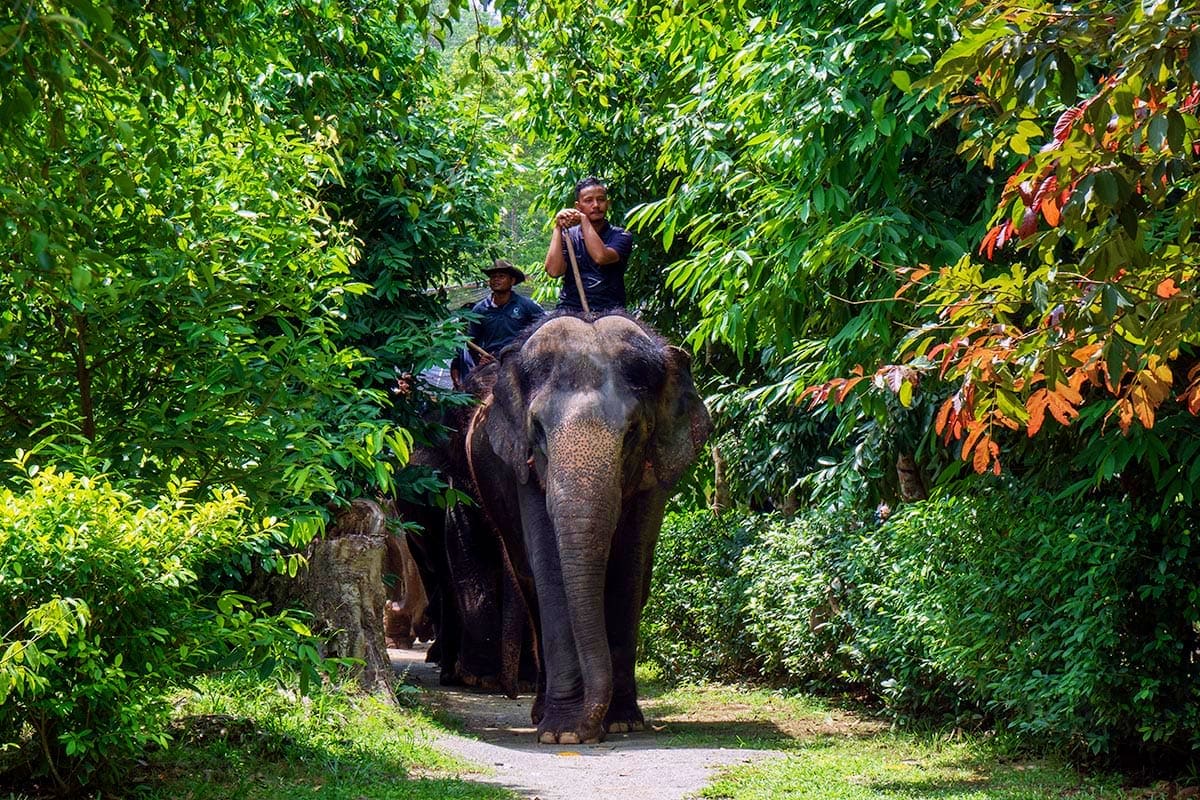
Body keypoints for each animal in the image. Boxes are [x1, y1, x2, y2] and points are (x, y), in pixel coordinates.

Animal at [457, 311, 712, 744]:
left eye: (632, 432)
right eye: (538, 430)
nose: (589, 729)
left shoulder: (654, 478)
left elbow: (628, 569)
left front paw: (621, 723)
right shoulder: (525, 470)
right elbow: (550, 570)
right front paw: (562, 734)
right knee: (530, 584)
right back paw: (541, 715)